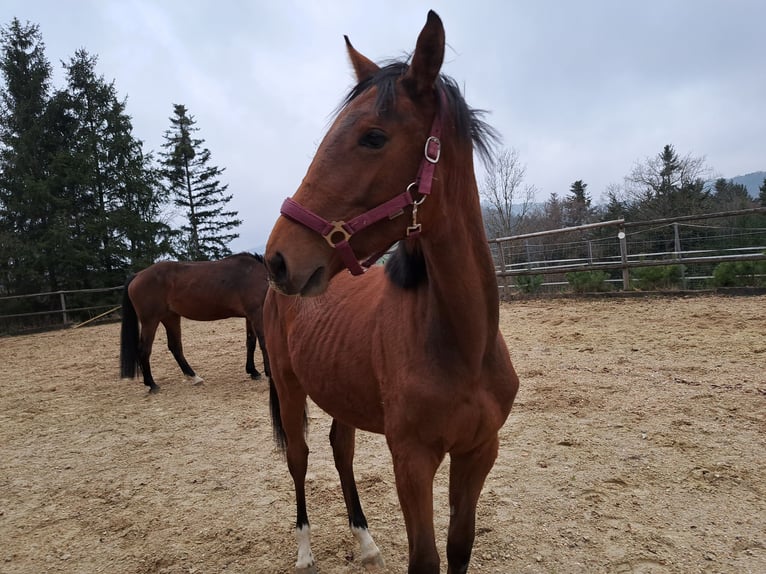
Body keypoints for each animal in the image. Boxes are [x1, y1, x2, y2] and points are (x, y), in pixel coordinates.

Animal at [120, 252, 270, 393]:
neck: (259, 275)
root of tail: (138, 275)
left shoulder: (249, 316)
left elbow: (251, 343)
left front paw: (253, 371)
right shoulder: (257, 314)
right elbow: (264, 343)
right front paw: (269, 373)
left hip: (170, 317)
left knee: (175, 347)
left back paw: (193, 377)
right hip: (150, 321)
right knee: (144, 350)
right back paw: (152, 384)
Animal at [262, 11, 519, 574]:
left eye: (373, 137)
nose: (279, 258)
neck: (463, 345)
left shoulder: (479, 452)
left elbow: (460, 546)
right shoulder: (413, 461)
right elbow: (425, 559)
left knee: (341, 451)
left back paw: (364, 540)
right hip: (290, 389)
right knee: (299, 459)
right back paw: (305, 550)